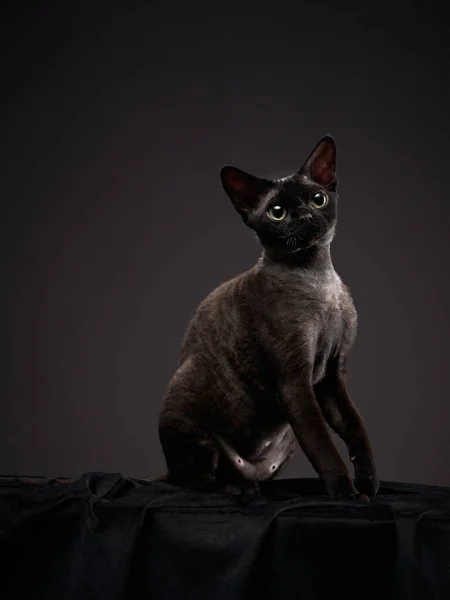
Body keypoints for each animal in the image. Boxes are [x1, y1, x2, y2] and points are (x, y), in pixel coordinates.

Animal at [156, 136, 378, 502]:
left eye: (318, 199)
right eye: (277, 212)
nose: (304, 215)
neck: (318, 280)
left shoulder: (332, 376)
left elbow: (356, 427)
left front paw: (368, 483)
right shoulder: (294, 381)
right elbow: (323, 446)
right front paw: (346, 494)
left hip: (285, 444)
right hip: (187, 402)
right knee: (192, 479)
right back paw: (238, 487)